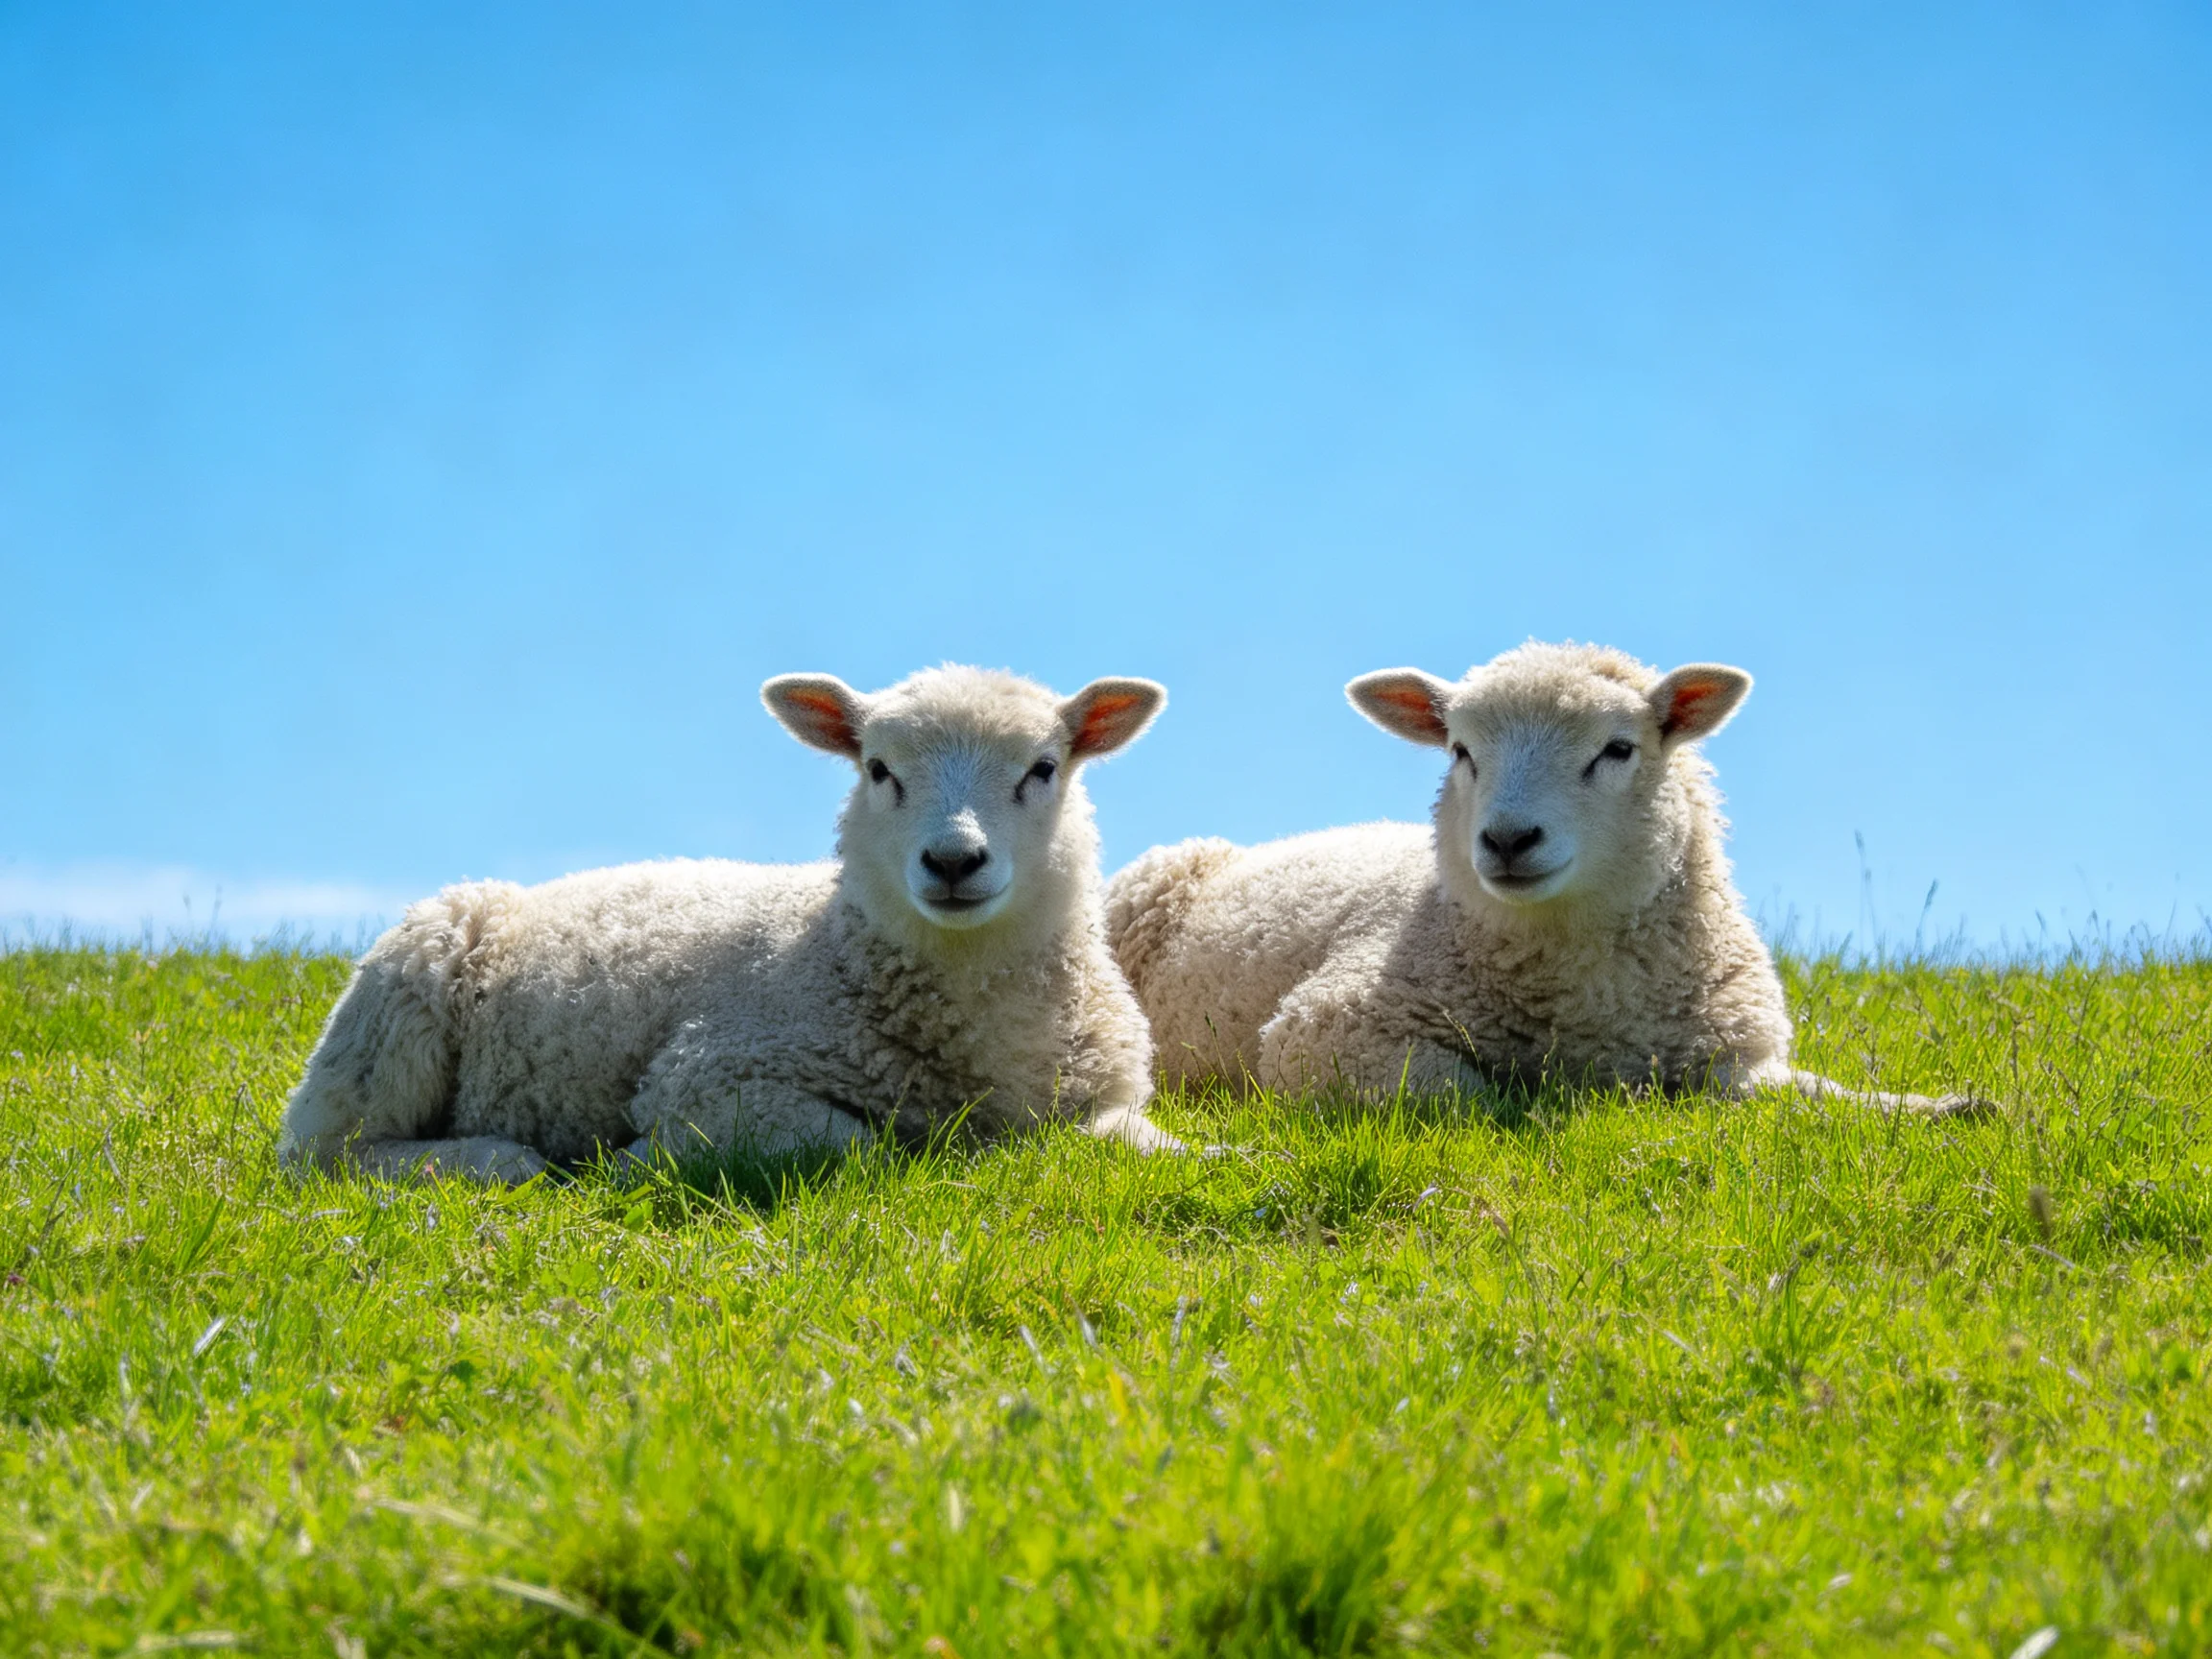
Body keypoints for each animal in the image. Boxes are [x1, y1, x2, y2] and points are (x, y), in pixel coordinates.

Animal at [280, 665, 1182, 1184]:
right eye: (877, 769)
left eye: (1044, 768)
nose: (954, 861)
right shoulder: (712, 1074)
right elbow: (857, 1143)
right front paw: (637, 1161)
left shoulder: (1101, 1102)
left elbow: (1155, 1145)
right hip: (396, 1009)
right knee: (329, 1154)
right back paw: (493, 1160)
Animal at [1106, 641, 1980, 1116]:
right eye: (1461, 751)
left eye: (1618, 749)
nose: (1507, 838)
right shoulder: (1326, 1033)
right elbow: (1473, 1092)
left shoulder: (1738, 1058)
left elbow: (1814, 1093)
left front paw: (1942, 1107)